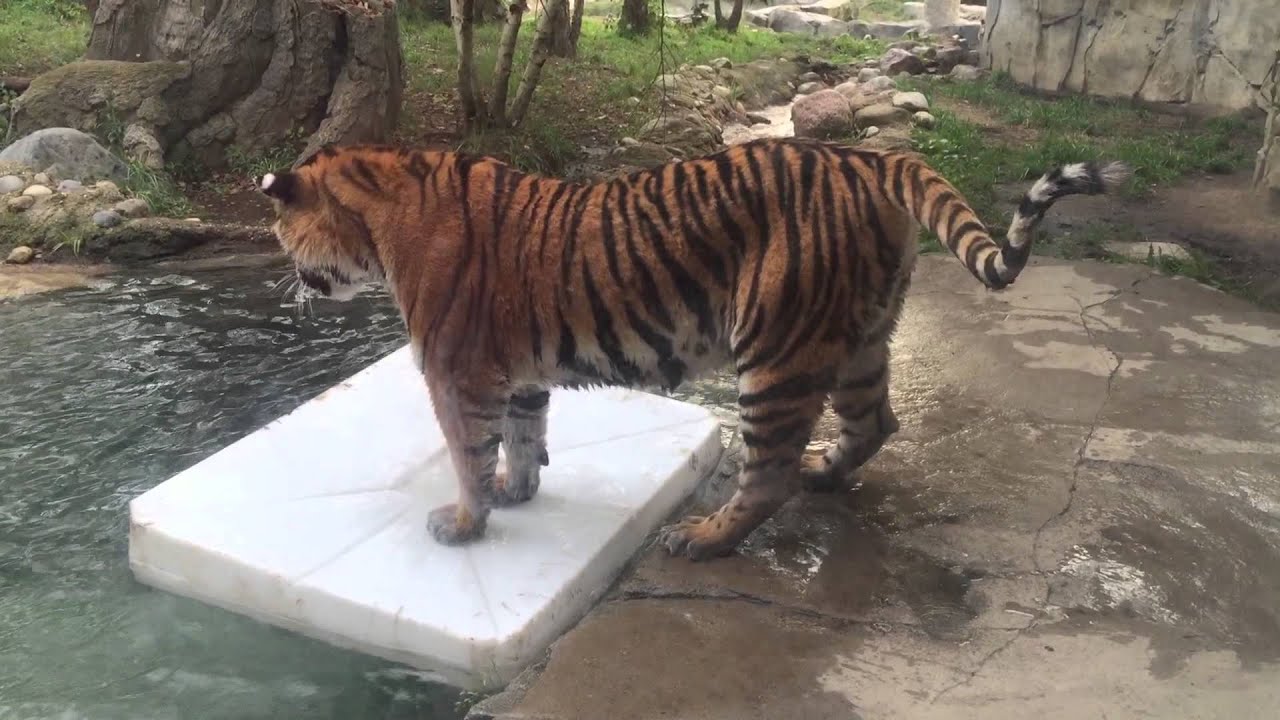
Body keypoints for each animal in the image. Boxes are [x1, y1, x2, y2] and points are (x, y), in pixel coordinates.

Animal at [257, 136, 1127, 561]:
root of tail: (872, 156)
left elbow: (468, 452)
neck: (379, 217)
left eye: (279, 231)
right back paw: (828, 476)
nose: (290, 280)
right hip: (861, 338)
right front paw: (517, 491)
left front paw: (466, 523)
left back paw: (704, 538)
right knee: (875, 424)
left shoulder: (456, 373)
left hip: (776, 350)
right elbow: (523, 435)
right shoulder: (519, 371)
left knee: (769, 474)